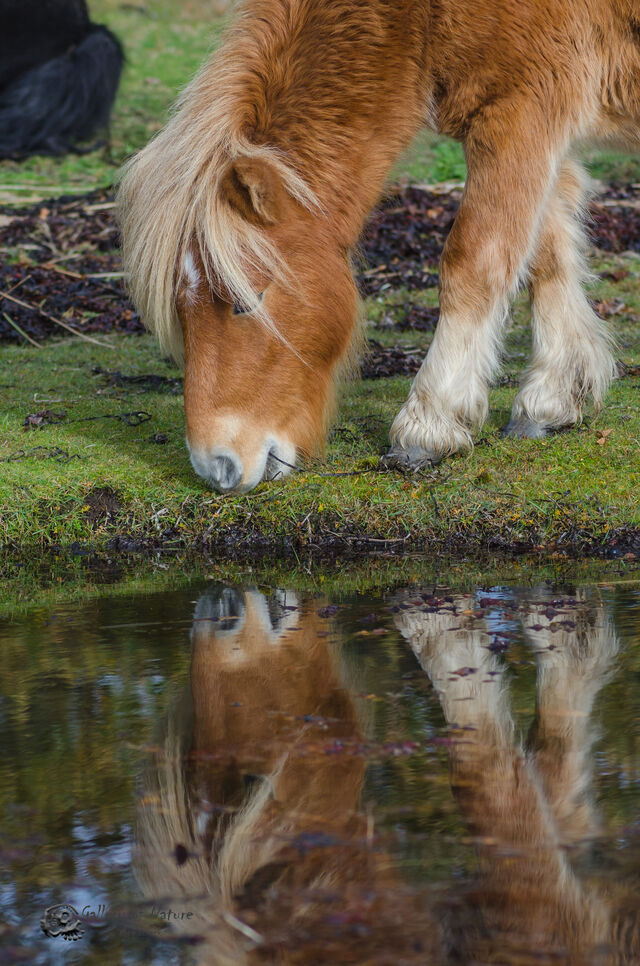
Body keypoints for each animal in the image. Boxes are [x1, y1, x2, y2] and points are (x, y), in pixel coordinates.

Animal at [118, 0, 633, 493]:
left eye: (248, 301)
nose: (216, 468)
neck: (422, 16)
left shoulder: (519, 110)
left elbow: (474, 261)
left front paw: (428, 426)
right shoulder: (538, 124)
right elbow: (546, 256)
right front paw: (553, 397)